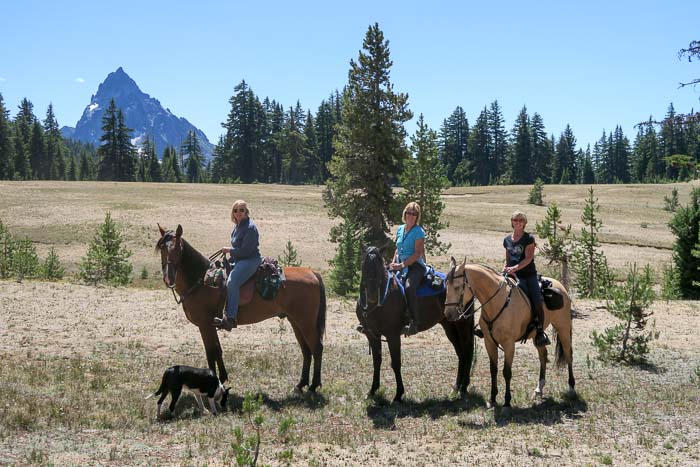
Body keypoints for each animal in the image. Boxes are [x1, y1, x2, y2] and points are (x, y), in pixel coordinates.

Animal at [156, 226, 326, 392]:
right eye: (162, 248)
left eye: (178, 248)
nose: (168, 278)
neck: (201, 281)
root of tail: (313, 273)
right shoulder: (212, 324)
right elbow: (217, 350)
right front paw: (222, 377)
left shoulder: (205, 325)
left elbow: (210, 353)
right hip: (295, 322)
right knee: (306, 350)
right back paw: (301, 384)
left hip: (306, 323)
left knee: (316, 348)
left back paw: (313, 386)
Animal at [356, 247, 476, 404]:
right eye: (364, 265)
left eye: (379, 265)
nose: (371, 295)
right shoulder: (372, 335)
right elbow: (377, 361)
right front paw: (372, 391)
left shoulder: (393, 335)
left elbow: (396, 363)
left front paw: (398, 394)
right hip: (449, 327)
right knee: (460, 353)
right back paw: (456, 387)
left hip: (462, 325)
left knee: (467, 351)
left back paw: (464, 387)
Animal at [442, 260, 576, 414]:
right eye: (446, 285)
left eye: (458, 287)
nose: (448, 314)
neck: (497, 302)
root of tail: (560, 286)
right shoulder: (489, 342)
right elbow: (493, 370)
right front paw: (492, 399)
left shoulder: (509, 344)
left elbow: (506, 372)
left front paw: (507, 403)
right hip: (537, 337)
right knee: (543, 356)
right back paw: (539, 389)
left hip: (563, 328)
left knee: (568, 355)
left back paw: (571, 388)